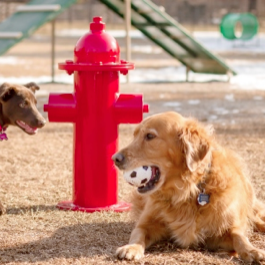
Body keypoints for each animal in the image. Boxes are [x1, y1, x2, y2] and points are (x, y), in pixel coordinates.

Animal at [112, 110, 264, 260]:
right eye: (134, 136)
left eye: (150, 136)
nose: (115, 158)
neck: (185, 192)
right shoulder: (146, 223)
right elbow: (138, 234)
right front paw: (131, 247)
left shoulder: (226, 228)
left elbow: (239, 237)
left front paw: (252, 251)